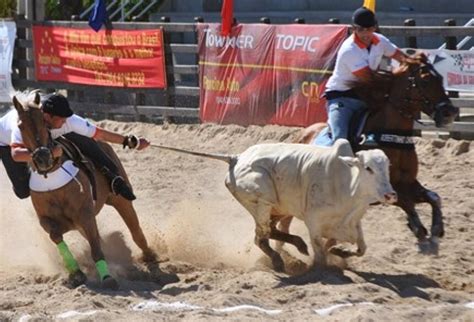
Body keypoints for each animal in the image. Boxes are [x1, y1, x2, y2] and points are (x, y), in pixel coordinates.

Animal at [12, 91, 156, 290]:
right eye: (20, 125)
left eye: (43, 120)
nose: (43, 157)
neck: (52, 177)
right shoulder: (48, 220)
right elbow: (57, 235)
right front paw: (76, 273)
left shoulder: (85, 214)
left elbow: (96, 248)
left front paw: (107, 277)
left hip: (120, 200)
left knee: (135, 231)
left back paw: (149, 255)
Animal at [292, 52, 460, 250]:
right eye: (425, 80)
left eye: (441, 78)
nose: (450, 112)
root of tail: (302, 135)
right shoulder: (384, 189)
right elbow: (405, 201)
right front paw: (418, 227)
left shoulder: (408, 182)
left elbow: (434, 197)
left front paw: (436, 228)